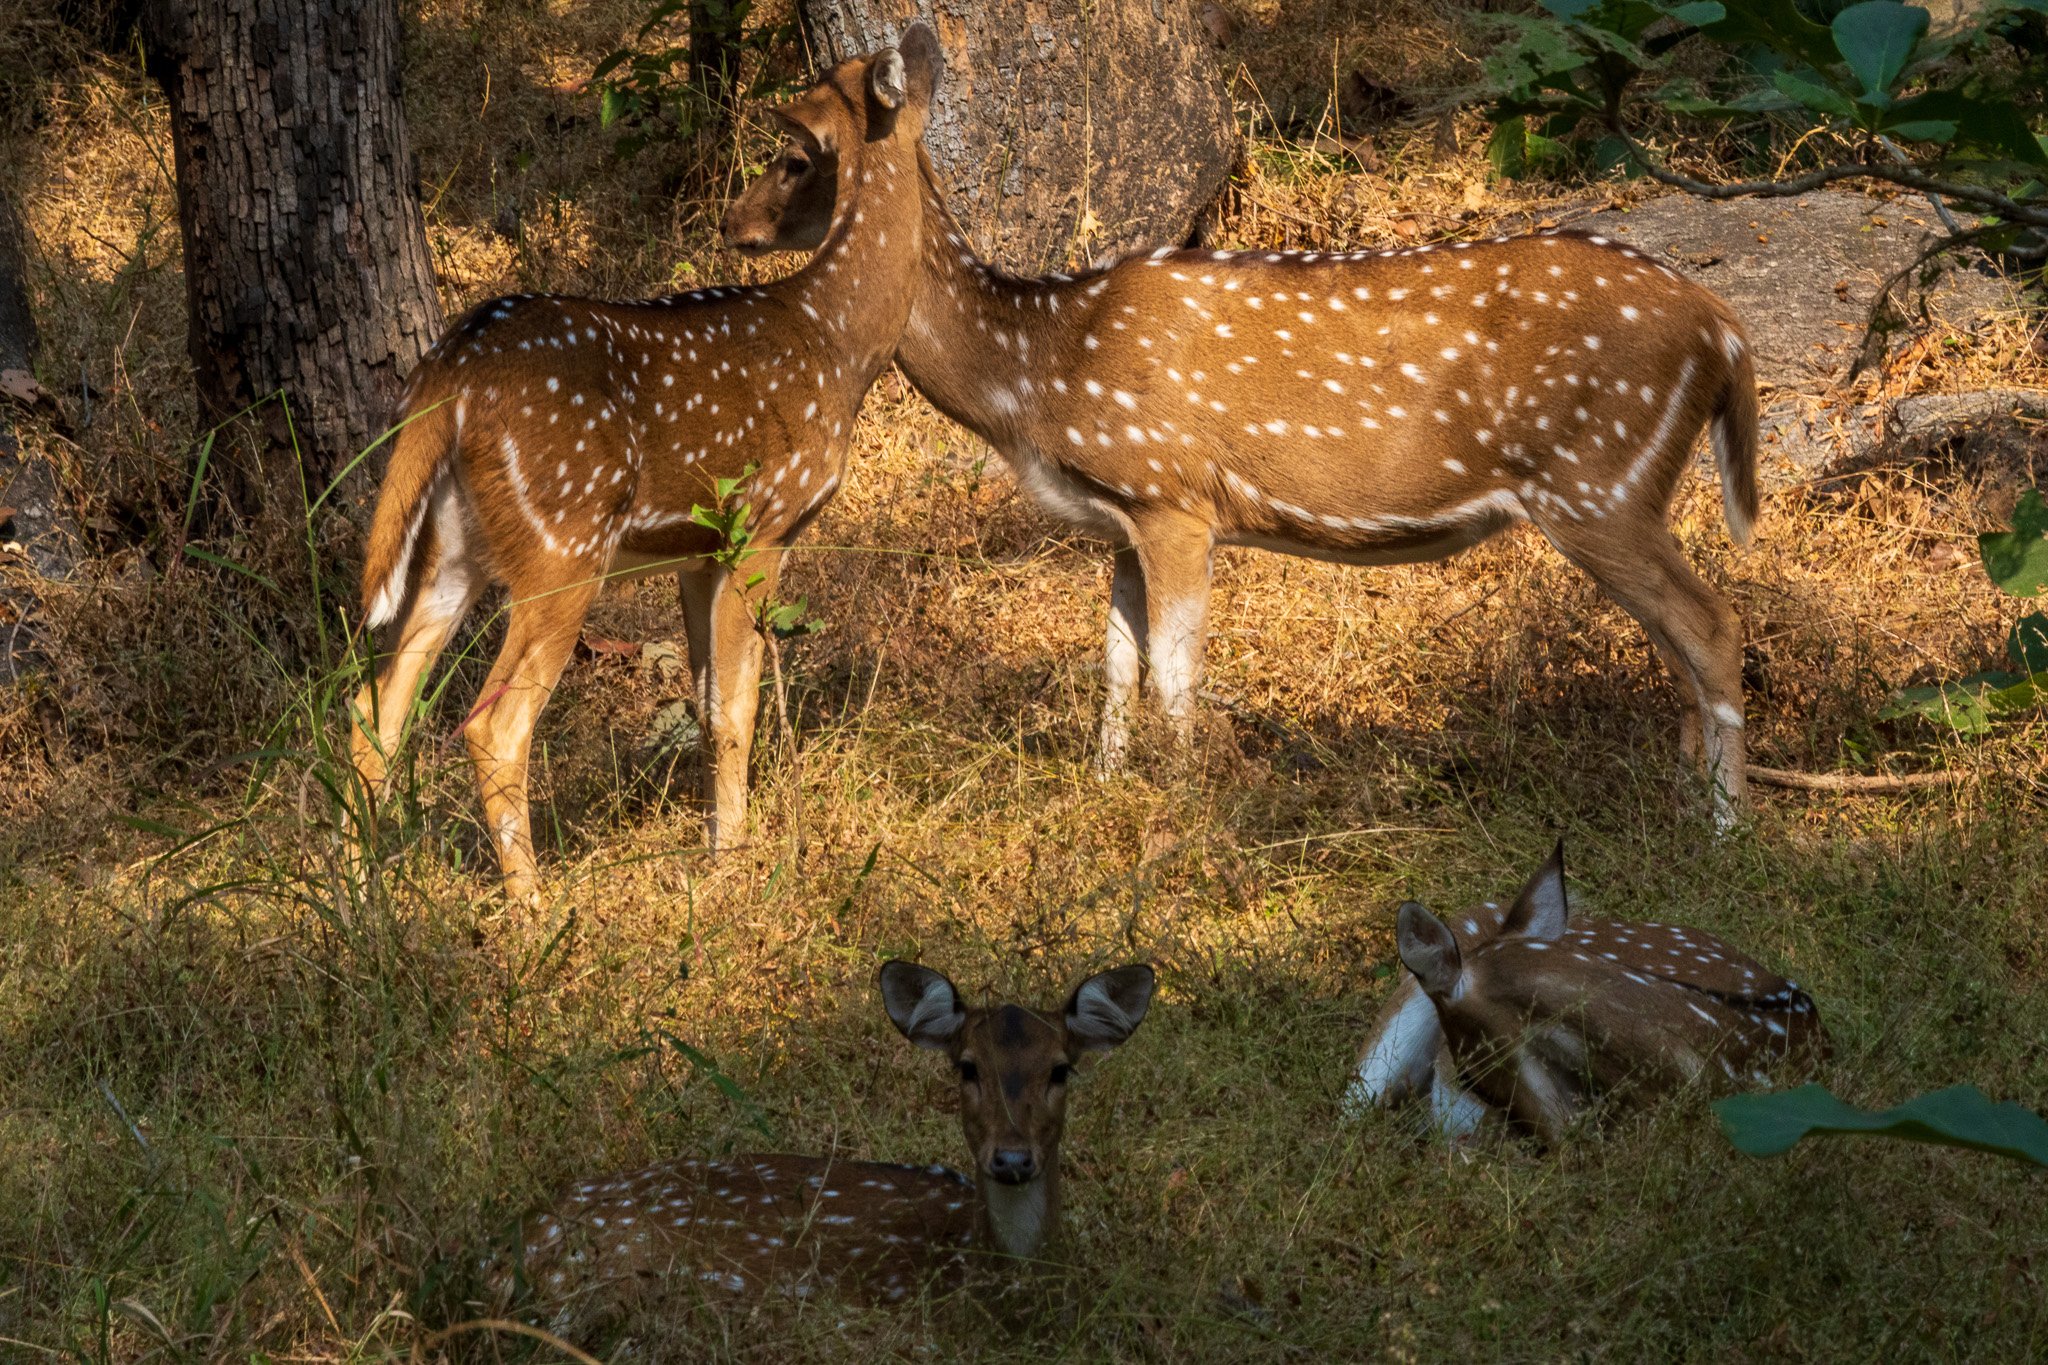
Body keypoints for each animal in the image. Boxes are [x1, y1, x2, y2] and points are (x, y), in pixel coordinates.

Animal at [354, 26, 950, 908]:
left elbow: (705, 706)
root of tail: (449, 376)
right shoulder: (762, 522)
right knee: (491, 724)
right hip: (564, 540)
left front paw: (714, 841)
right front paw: (735, 861)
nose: (736, 220)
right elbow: (738, 709)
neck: (836, 342)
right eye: (794, 157)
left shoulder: (695, 550)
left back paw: (362, 894)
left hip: (454, 545)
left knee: (375, 714)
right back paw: (532, 907)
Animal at [724, 90, 1761, 826]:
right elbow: (1117, 664)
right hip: (1620, 490)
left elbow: (1174, 673)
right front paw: (1104, 790)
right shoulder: (1121, 518)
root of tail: (1723, 328)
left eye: (796, 156)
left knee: (1713, 626)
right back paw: (1682, 813)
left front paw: (1189, 809)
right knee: (1679, 645)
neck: (1037, 370)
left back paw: (1728, 832)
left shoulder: (1175, 497)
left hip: (1598, 481)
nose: (736, 225)